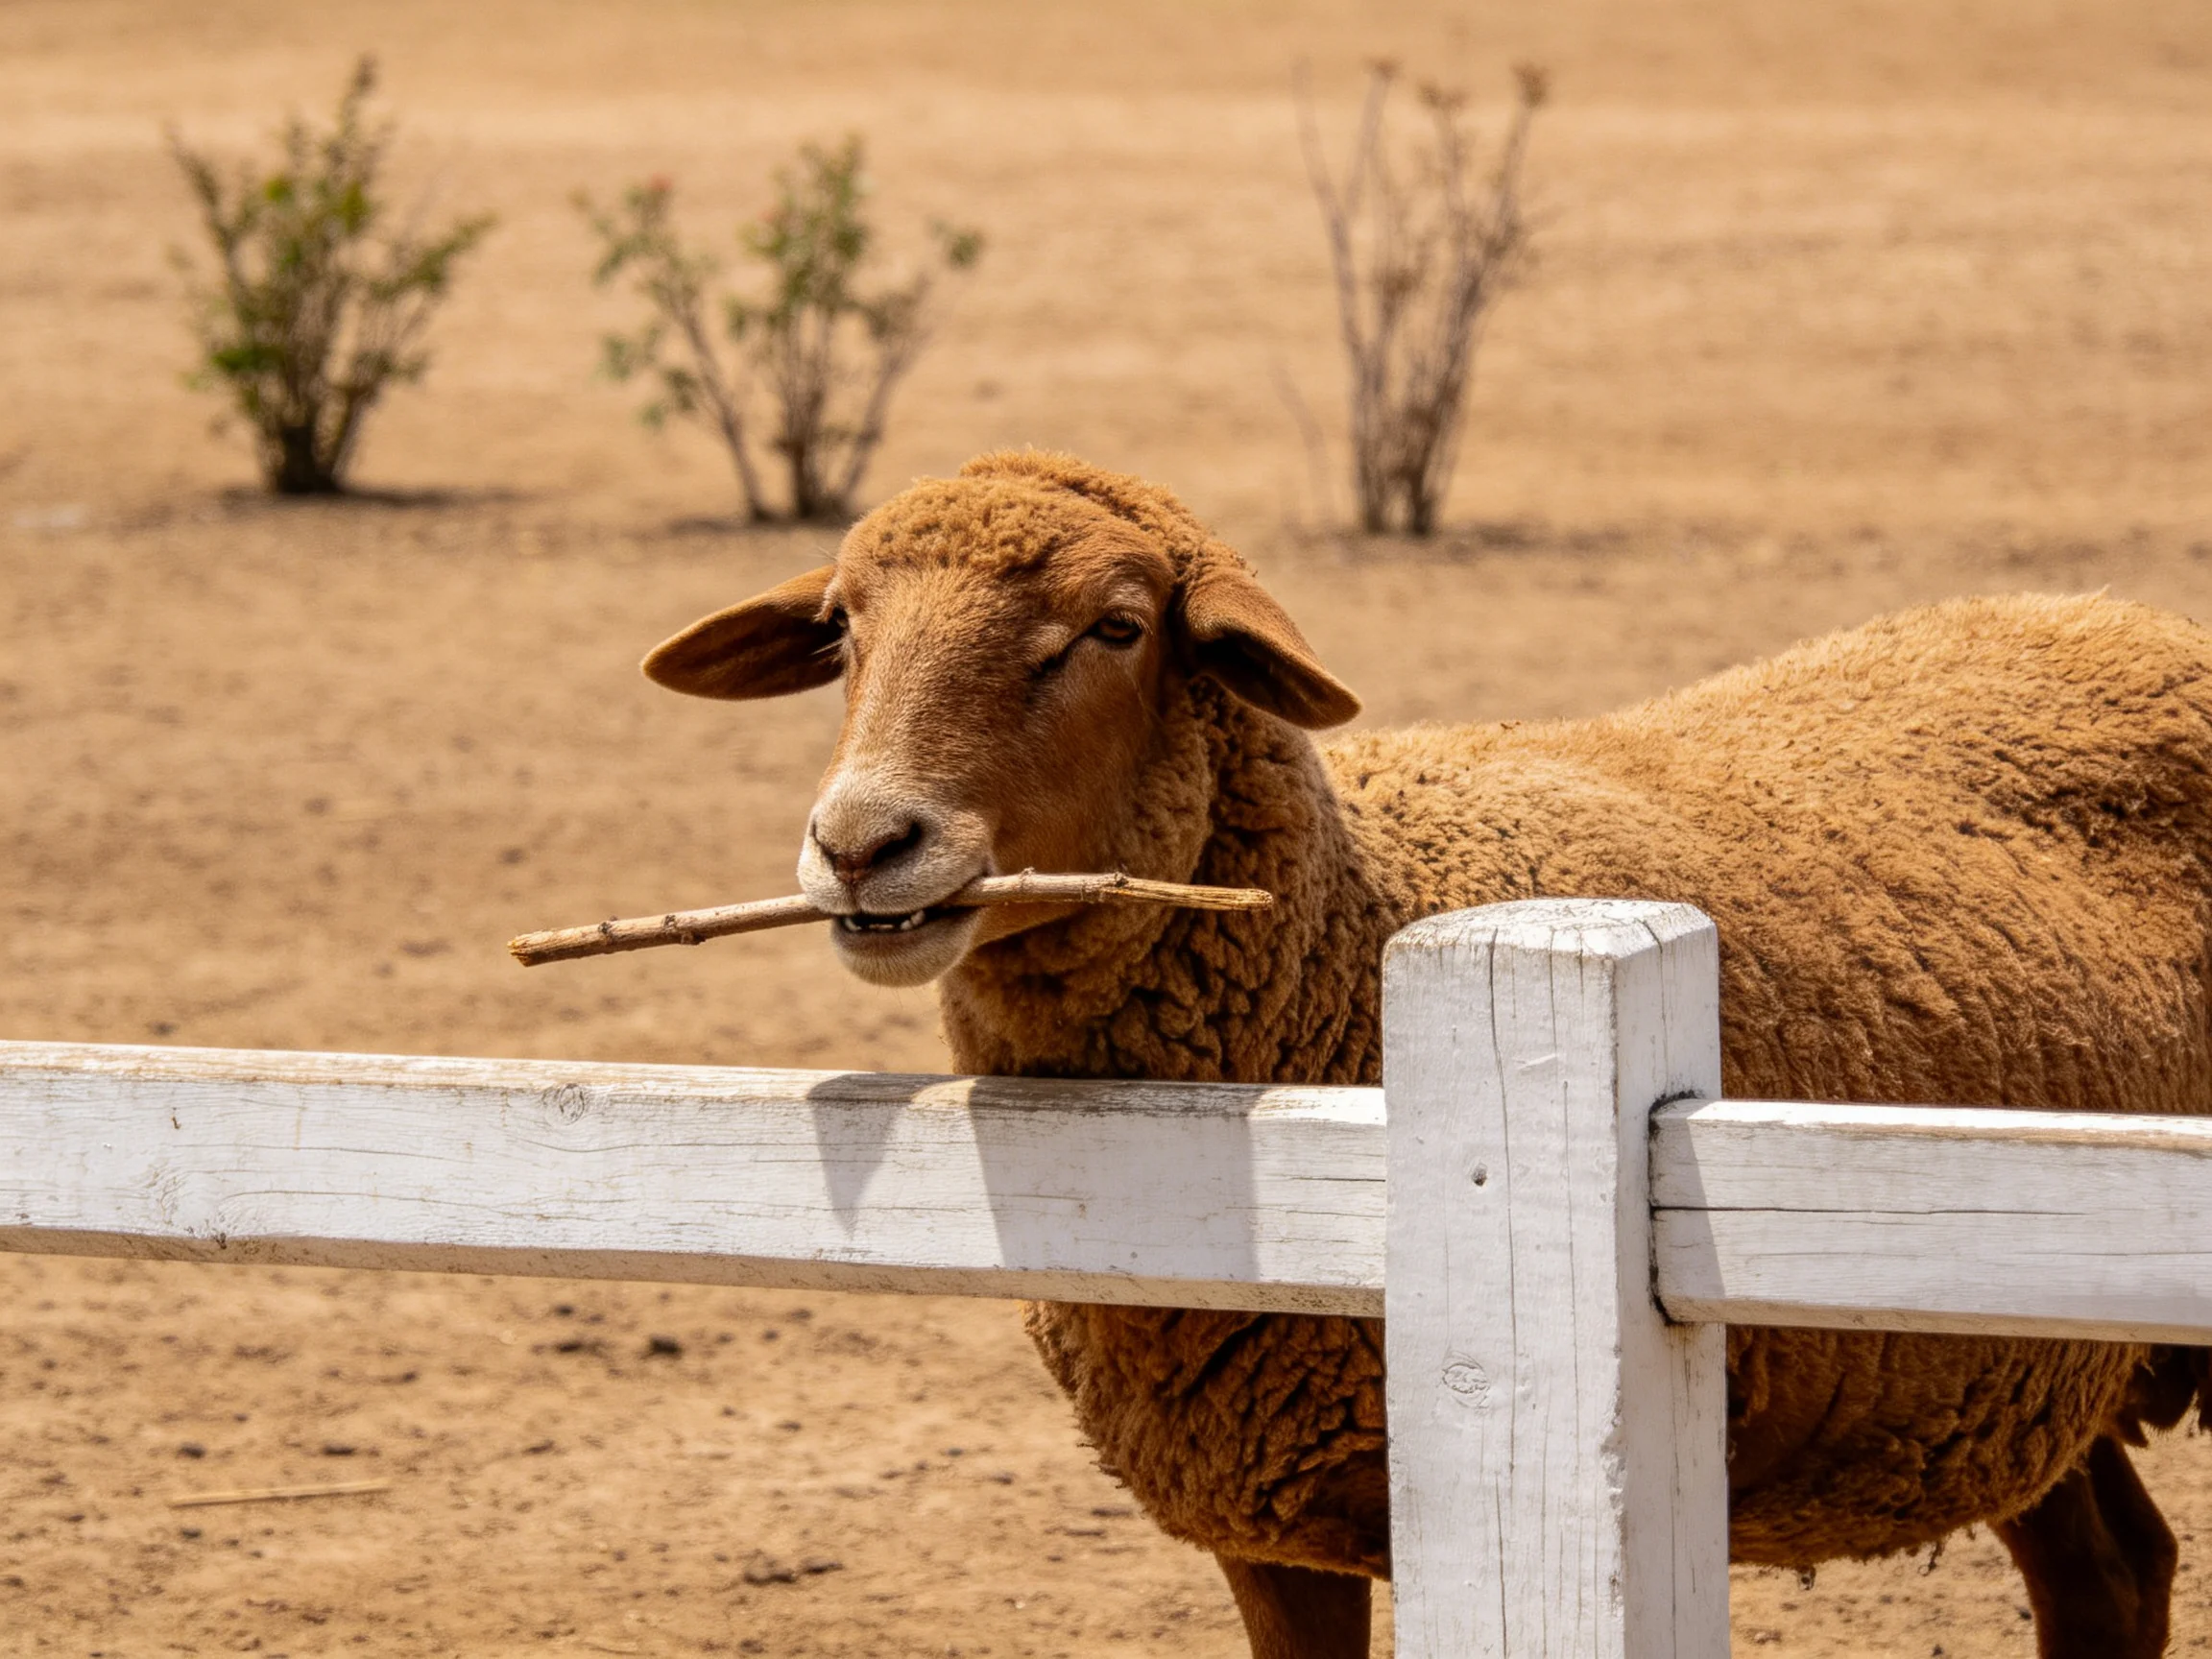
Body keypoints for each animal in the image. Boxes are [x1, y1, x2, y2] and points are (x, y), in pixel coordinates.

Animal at [641, 450, 2212, 1659]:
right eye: (842, 631)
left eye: (1117, 627)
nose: (863, 843)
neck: (1348, 935)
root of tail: (2117, 619)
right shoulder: (1268, 1517)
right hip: (2006, 1375)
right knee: (2111, 1573)